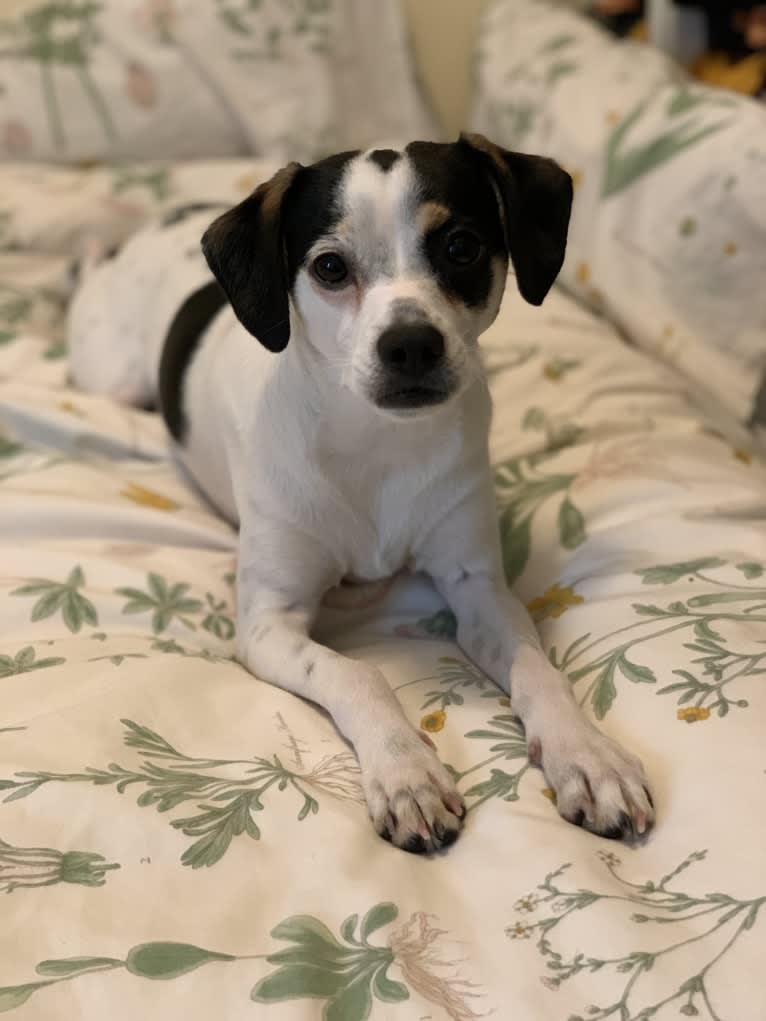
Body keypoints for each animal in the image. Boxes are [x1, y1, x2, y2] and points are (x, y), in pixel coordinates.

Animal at [68, 135, 653, 853]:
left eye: (461, 246)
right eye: (329, 266)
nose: (410, 345)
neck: (377, 446)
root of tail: (172, 215)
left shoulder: (478, 587)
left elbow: (538, 669)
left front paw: (588, 756)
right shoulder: (268, 622)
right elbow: (357, 673)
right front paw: (406, 772)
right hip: (107, 373)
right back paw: (86, 255)